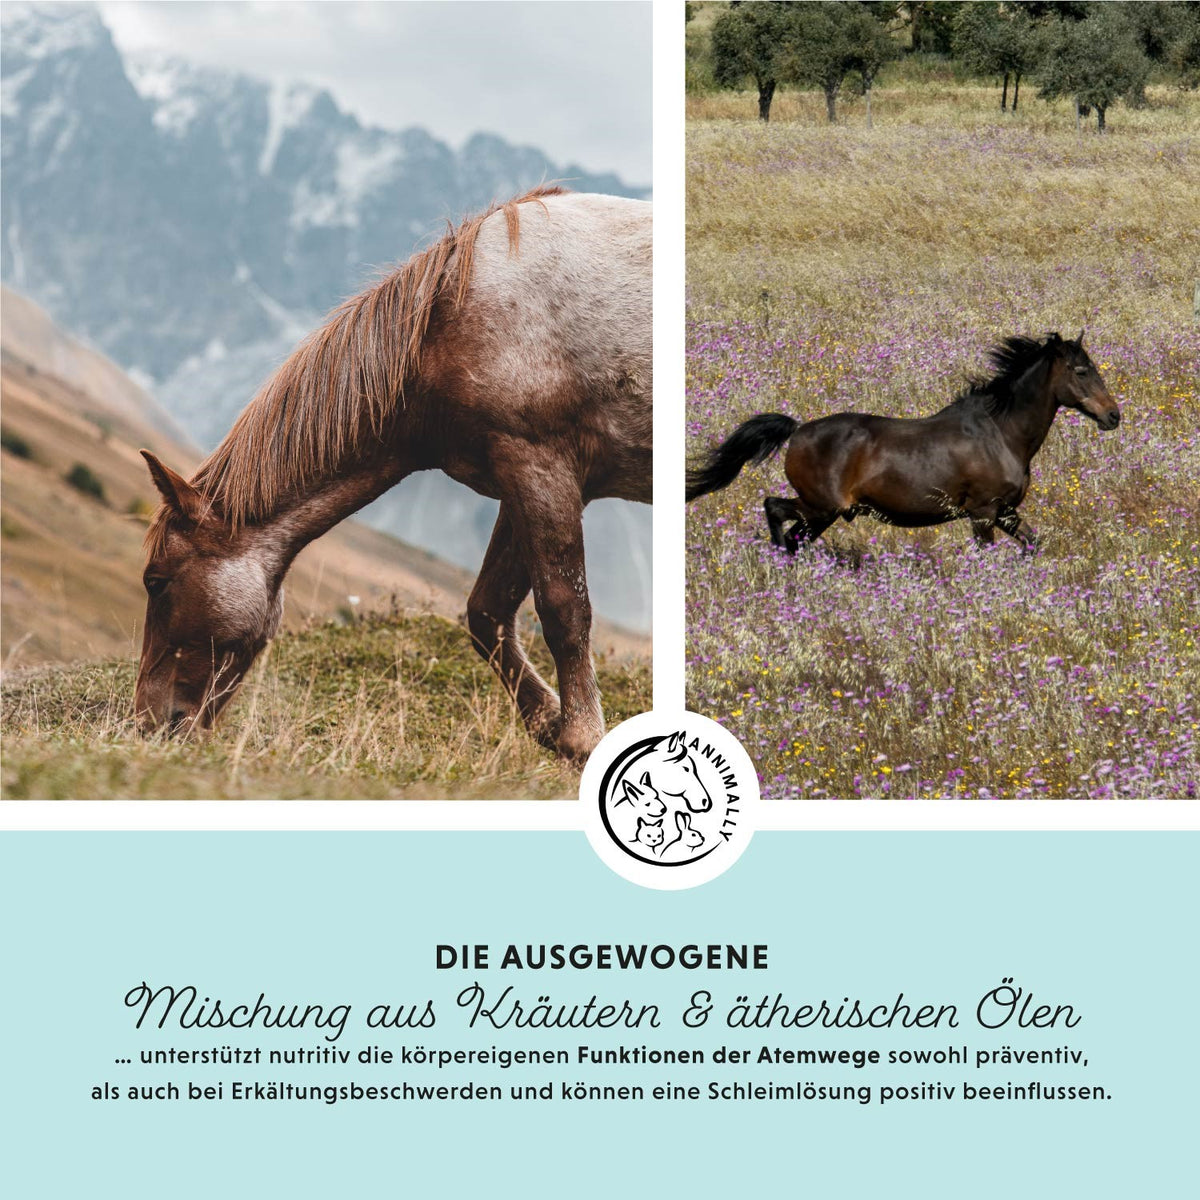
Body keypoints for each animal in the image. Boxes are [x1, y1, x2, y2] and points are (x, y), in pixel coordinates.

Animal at [135, 186, 651, 762]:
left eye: (156, 582)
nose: (146, 724)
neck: (447, 323)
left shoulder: (539, 465)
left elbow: (564, 609)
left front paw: (582, 738)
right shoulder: (525, 476)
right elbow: (487, 613)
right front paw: (549, 722)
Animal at [686, 332, 1118, 553]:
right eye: (1081, 371)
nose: (1114, 416)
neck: (1001, 433)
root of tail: (798, 430)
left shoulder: (1007, 512)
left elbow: (1034, 543)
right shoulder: (983, 512)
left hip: (821, 514)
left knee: (793, 534)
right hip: (821, 507)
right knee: (774, 509)